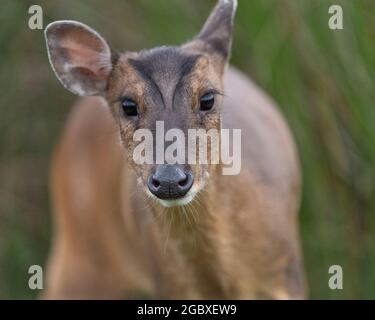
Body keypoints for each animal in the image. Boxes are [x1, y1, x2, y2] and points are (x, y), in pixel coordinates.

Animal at [44, 0, 308, 300]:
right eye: (128, 105)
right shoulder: (169, 285)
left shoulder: (288, 276)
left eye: (208, 98)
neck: (226, 285)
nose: (170, 179)